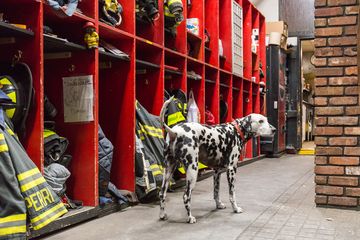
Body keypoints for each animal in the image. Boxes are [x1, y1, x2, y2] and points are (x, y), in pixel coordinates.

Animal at [158, 96, 276, 224]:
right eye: (260, 121)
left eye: (266, 120)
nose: (274, 130)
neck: (236, 130)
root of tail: (175, 132)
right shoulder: (231, 169)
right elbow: (232, 194)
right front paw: (235, 208)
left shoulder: (217, 172)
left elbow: (216, 192)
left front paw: (218, 205)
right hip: (192, 171)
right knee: (186, 196)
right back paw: (190, 217)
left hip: (168, 171)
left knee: (162, 194)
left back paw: (162, 215)